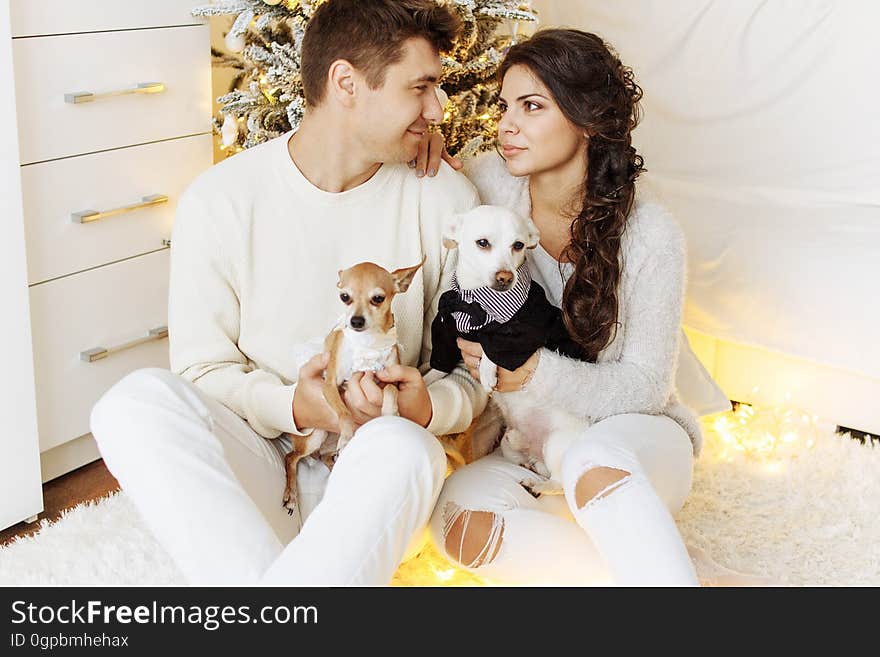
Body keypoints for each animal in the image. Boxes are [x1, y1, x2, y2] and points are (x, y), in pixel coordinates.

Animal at [430, 205, 588, 492]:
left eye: (518, 245)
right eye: (482, 243)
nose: (505, 277)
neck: (475, 301)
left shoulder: (523, 332)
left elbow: (492, 347)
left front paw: (486, 371)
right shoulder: (445, 327)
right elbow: (437, 367)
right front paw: (423, 381)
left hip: (556, 443)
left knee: (559, 482)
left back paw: (537, 485)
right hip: (509, 446)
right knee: (527, 456)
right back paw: (529, 461)